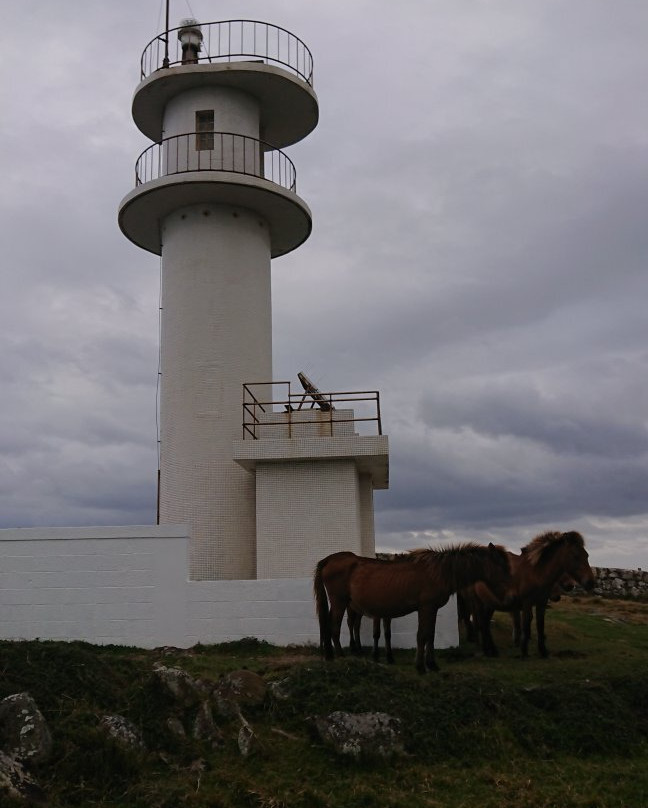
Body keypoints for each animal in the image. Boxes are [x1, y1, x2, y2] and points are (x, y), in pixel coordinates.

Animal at [314, 548, 512, 672]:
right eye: (501, 567)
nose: (509, 595)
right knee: (334, 627)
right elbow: (422, 636)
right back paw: (339, 656)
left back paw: (329, 655)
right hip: (340, 602)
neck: (439, 571)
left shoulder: (430, 609)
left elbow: (430, 635)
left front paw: (431, 665)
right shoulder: (426, 607)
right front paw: (421, 666)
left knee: (329, 626)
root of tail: (329, 560)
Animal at [460, 532, 592, 656]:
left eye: (586, 555)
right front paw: (524, 650)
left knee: (485, 623)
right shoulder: (526, 603)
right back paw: (485, 648)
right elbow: (525, 625)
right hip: (478, 603)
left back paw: (491, 650)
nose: (590, 581)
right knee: (480, 623)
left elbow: (539, 625)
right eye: (575, 556)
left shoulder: (540, 603)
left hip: (489, 604)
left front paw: (543, 651)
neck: (535, 573)